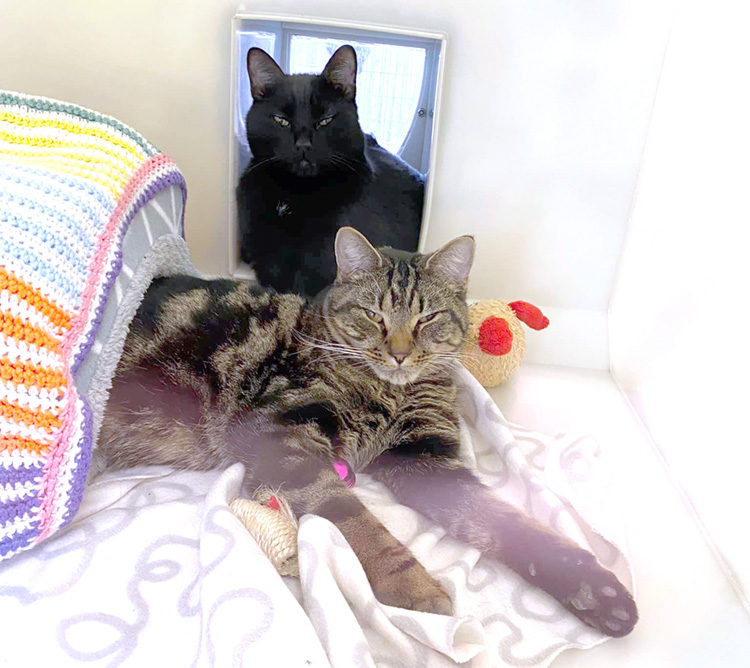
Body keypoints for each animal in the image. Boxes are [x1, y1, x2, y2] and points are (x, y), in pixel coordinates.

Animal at [98, 226, 640, 636]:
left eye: (427, 318)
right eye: (372, 315)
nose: (399, 353)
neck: (390, 392)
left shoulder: (426, 457)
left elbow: (506, 522)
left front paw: (595, 589)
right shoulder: (281, 437)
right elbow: (356, 522)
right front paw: (419, 591)